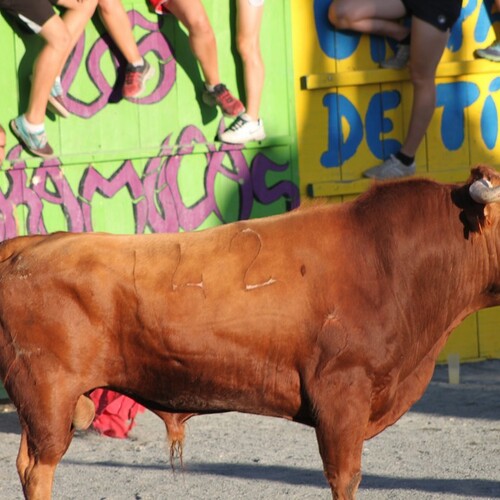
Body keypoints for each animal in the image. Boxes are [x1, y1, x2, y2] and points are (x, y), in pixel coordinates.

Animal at [0, 166, 500, 498]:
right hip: (47, 397)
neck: (387, 262)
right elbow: (345, 477)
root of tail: (30, 245)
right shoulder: (342, 398)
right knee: (36, 468)